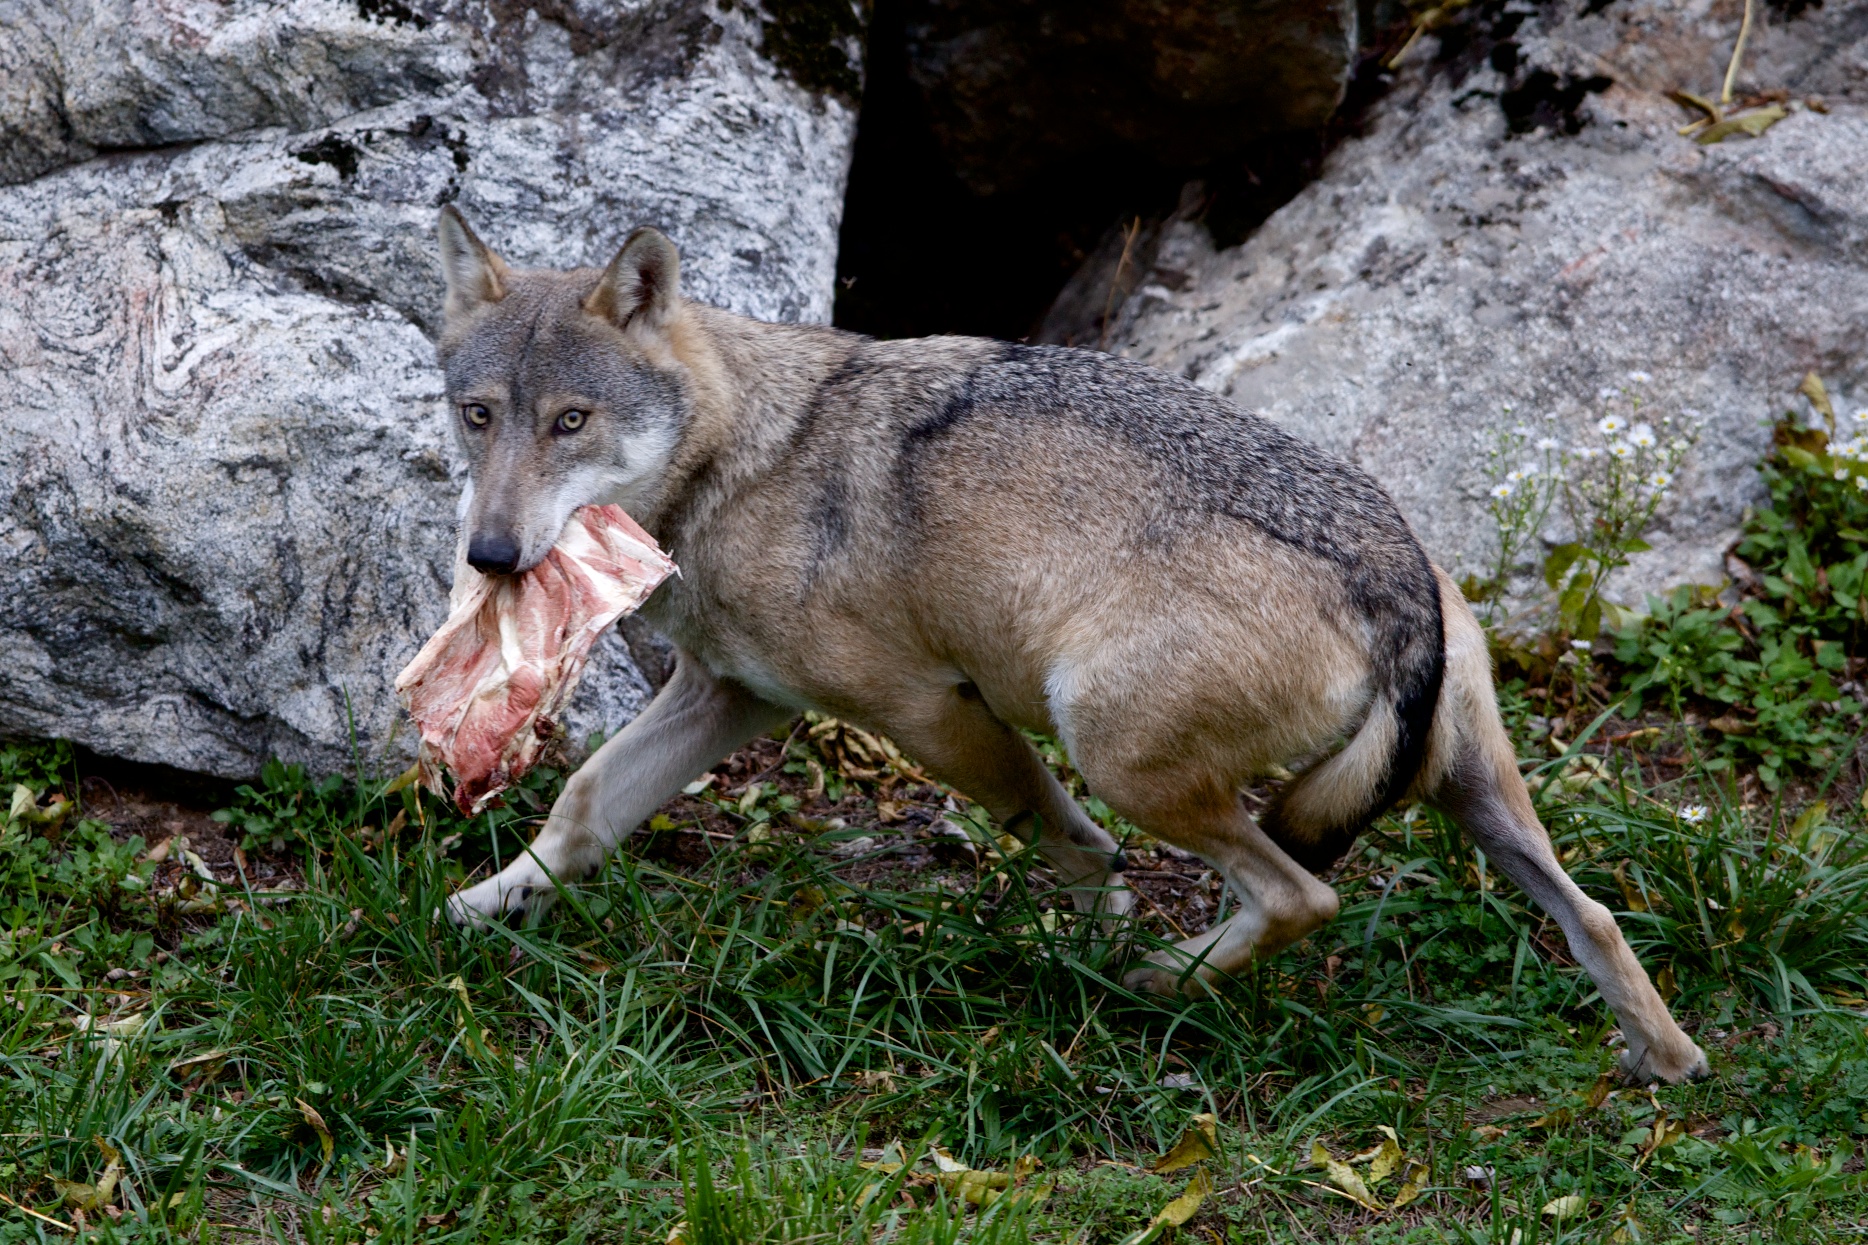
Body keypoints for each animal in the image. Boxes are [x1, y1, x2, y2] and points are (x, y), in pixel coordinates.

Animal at [432, 206, 1708, 1084]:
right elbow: (583, 806)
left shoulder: (925, 709)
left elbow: (1065, 841)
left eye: (572, 422)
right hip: (1475, 799)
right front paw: (488, 904)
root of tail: (1394, 572)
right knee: (1590, 915)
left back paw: (1160, 981)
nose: (489, 555)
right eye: (478, 416)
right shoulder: (730, 699)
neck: (737, 458)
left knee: (1301, 894)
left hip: (1113, 748)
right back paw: (1664, 1062)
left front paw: (1098, 937)